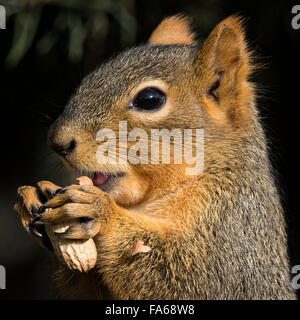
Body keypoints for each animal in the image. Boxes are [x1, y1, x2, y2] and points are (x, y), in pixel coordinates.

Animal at [13, 15, 296, 300]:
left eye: (149, 99)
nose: (57, 142)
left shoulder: (234, 234)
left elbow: (191, 280)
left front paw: (100, 213)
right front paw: (37, 196)